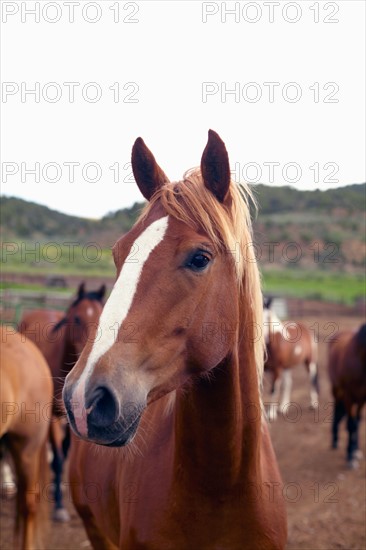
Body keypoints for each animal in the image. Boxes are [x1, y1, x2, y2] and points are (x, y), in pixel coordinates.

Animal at [17, 284, 105, 520]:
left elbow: (65, 453)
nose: (87, 355)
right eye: (76, 318)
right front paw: (58, 507)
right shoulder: (51, 417)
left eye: (100, 316)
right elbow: (57, 458)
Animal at [328, 324, 366, 470]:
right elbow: (351, 424)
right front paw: (350, 457)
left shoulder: (363, 399)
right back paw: (335, 440)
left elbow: (357, 422)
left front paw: (355, 451)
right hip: (336, 389)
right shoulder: (348, 397)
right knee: (336, 411)